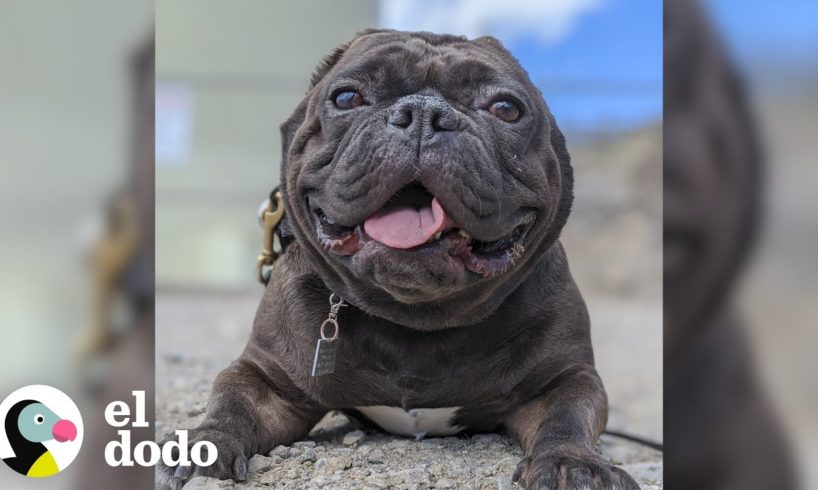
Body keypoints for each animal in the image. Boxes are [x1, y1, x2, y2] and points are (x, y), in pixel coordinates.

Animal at [158, 30, 636, 490]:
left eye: (506, 108)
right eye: (345, 98)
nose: (424, 113)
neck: (413, 317)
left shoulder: (566, 377)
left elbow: (567, 417)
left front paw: (572, 463)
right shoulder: (268, 377)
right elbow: (232, 401)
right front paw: (202, 444)